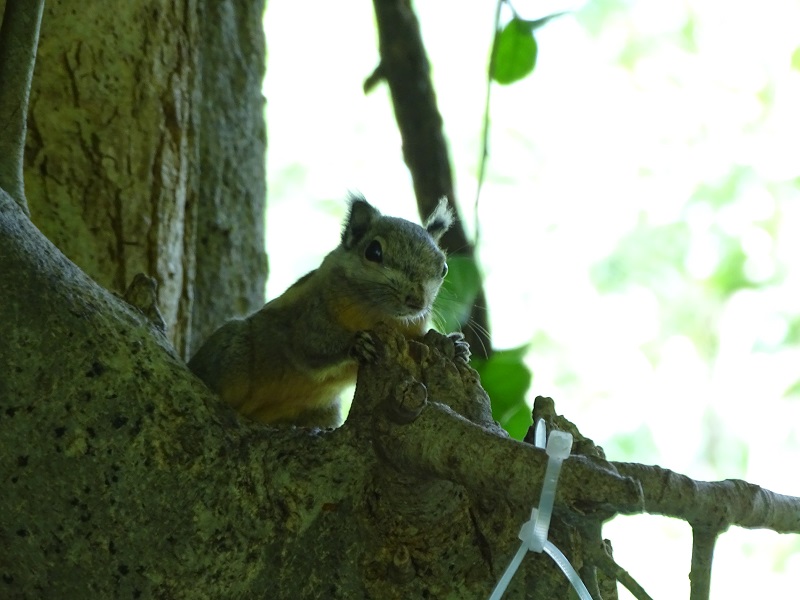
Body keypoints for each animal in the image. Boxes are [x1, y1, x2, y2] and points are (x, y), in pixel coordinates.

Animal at [188, 193, 454, 428]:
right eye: (374, 252)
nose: (416, 301)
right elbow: (311, 344)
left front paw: (451, 343)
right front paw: (356, 344)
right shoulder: (309, 314)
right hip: (233, 349)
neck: (378, 313)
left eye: (444, 268)